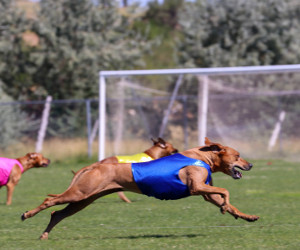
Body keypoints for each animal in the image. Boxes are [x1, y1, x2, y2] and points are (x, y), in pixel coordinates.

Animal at [22, 139, 258, 240]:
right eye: (238, 156)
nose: (250, 165)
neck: (203, 156)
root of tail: (96, 165)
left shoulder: (204, 191)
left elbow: (222, 197)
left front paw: (244, 215)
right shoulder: (196, 187)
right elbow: (225, 190)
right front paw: (225, 207)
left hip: (84, 199)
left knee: (57, 213)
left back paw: (44, 235)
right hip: (80, 193)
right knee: (49, 202)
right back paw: (27, 214)